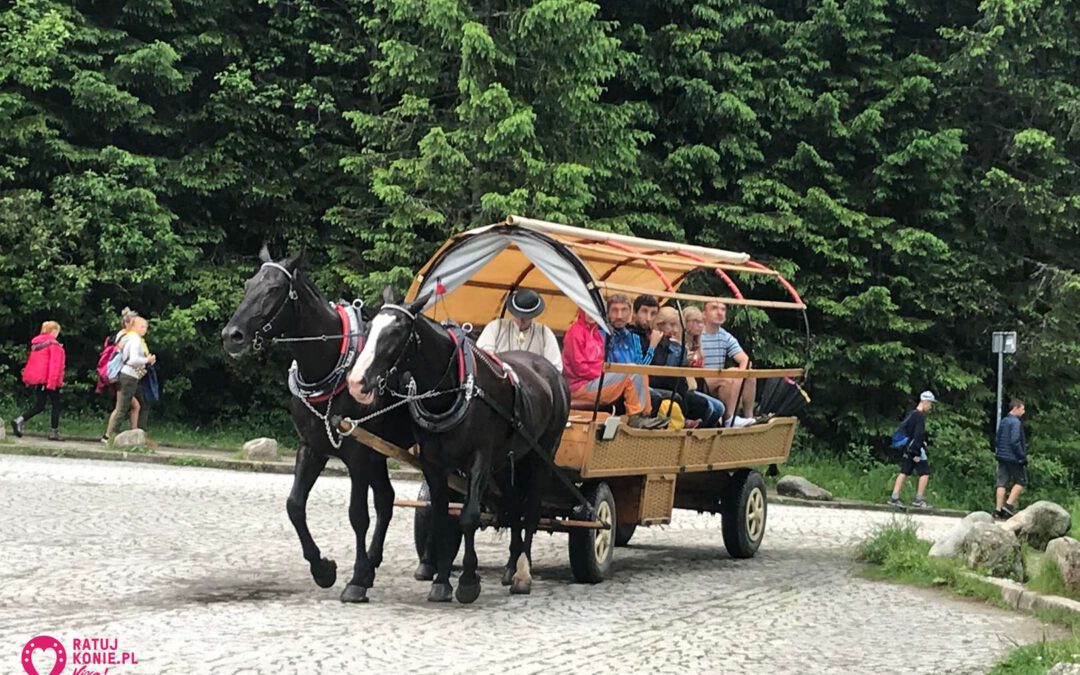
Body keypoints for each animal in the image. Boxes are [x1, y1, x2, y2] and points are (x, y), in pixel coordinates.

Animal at [219, 250, 408, 604]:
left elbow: (357, 515)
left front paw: (355, 580)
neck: (332, 361)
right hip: (379, 453)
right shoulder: (312, 448)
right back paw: (373, 562)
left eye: (274, 289)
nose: (232, 336)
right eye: (249, 284)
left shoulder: (357, 454)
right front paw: (323, 569)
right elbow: (294, 506)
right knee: (386, 499)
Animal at [347, 287, 574, 604]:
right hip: (509, 461)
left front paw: (467, 581)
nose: (356, 382)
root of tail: (548, 371)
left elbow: (468, 517)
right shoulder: (433, 462)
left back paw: (522, 573)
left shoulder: (479, 459)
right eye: (369, 329)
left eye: (396, 332)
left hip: (542, 455)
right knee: (514, 505)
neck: (454, 390)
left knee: (530, 510)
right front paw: (441, 581)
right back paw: (510, 566)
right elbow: (442, 516)